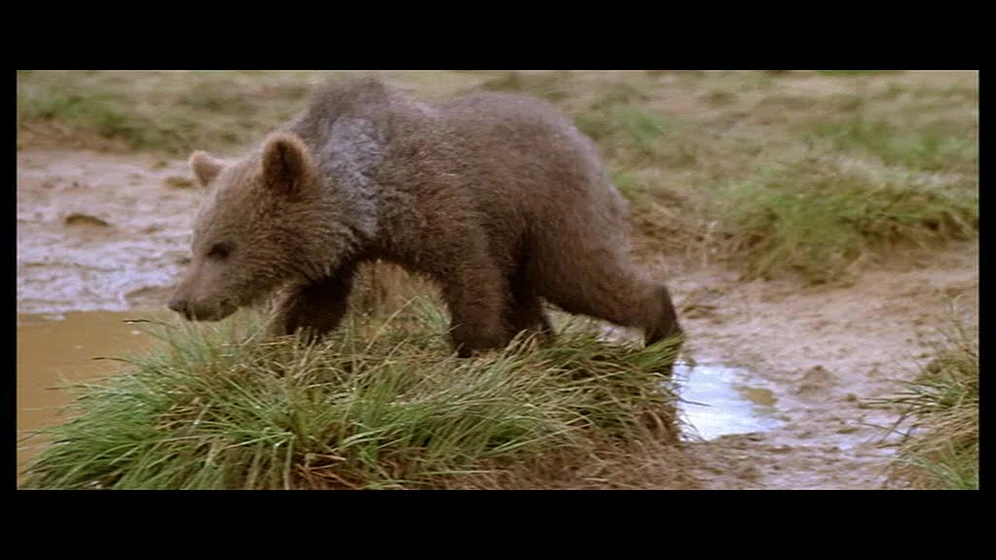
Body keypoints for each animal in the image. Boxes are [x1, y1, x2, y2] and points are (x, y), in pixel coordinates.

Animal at [168, 75, 683, 358]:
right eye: (194, 246)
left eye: (222, 248)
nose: (182, 302)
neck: (367, 199)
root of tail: (577, 133)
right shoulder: (338, 253)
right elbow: (314, 307)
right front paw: (274, 348)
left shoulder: (442, 208)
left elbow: (473, 278)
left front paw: (474, 351)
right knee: (529, 291)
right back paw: (540, 343)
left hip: (553, 210)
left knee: (578, 275)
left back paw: (663, 337)